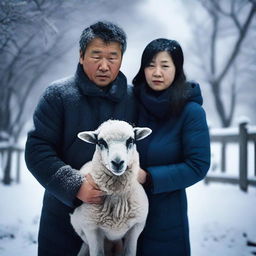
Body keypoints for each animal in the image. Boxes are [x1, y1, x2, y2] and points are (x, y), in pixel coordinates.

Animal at [70, 120, 151, 256]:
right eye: (100, 142)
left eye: (131, 140)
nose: (117, 163)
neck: (116, 197)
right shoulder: (91, 229)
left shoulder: (136, 227)